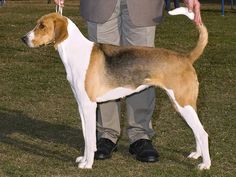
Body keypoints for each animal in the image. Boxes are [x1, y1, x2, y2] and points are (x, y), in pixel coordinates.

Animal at [21, 8, 211, 170]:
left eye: (42, 26)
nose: (23, 39)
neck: (76, 51)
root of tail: (185, 57)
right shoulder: (82, 106)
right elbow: (87, 137)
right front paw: (85, 158)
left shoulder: (89, 106)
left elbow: (90, 138)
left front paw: (87, 164)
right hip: (183, 105)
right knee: (197, 130)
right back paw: (197, 154)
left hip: (182, 103)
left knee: (203, 133)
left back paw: (205, 164)